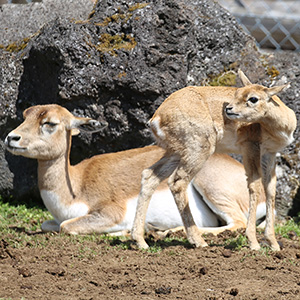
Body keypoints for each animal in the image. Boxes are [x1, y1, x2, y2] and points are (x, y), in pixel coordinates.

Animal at [5, 104, 266, 236]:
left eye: (49, 123)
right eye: (25, 115)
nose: (11, 138)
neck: (74, 186)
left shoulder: (112, 213)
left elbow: (66, 227)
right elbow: (48, 224)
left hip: (212, 188)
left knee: (238, 223)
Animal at [132, 70, 298, 251]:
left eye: (253, 98)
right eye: (237, 93)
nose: (228, 109)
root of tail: (157, 117)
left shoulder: (270, 153)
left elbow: (270, 190)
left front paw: (273, 244)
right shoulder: (250, 148)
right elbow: (254, 186)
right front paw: (254, 243)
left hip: (175, 153)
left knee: (149, 176)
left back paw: (141, 241)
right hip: (199, 152)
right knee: (177, 182)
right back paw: (198, 241)